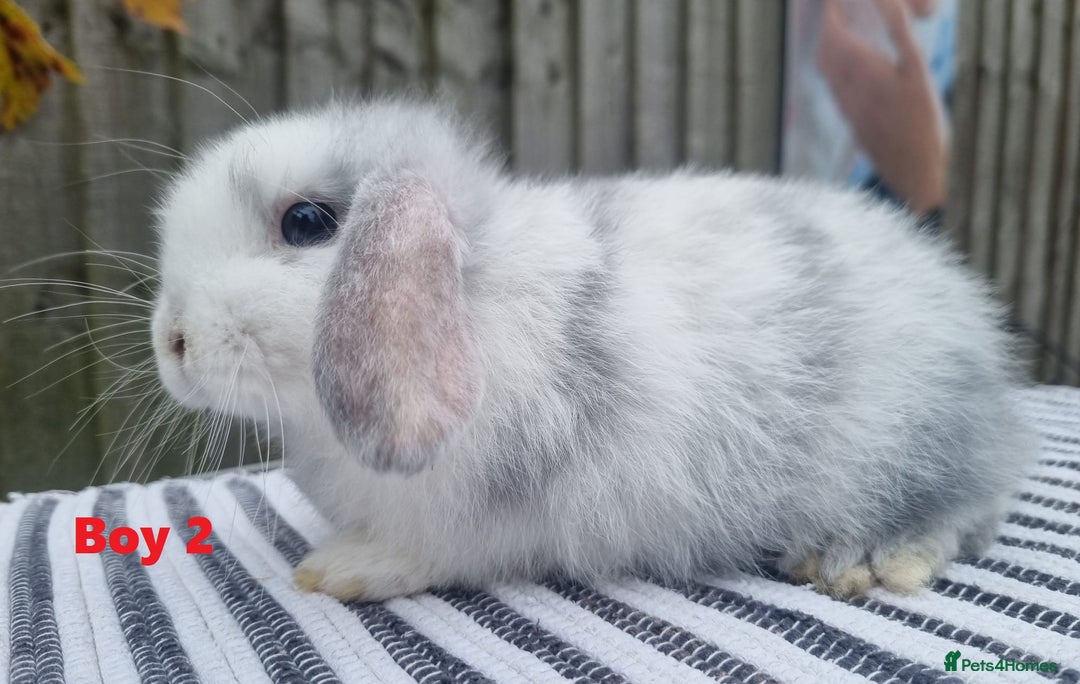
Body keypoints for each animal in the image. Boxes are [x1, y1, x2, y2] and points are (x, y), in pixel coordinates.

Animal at [151, 99, 1032, 602]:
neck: (477, 293)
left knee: (958, 516)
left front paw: (340, 572)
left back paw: (863, 561)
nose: (173, 341)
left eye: (305, 223)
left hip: (908, 449)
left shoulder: (482, 522)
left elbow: (428, 554)